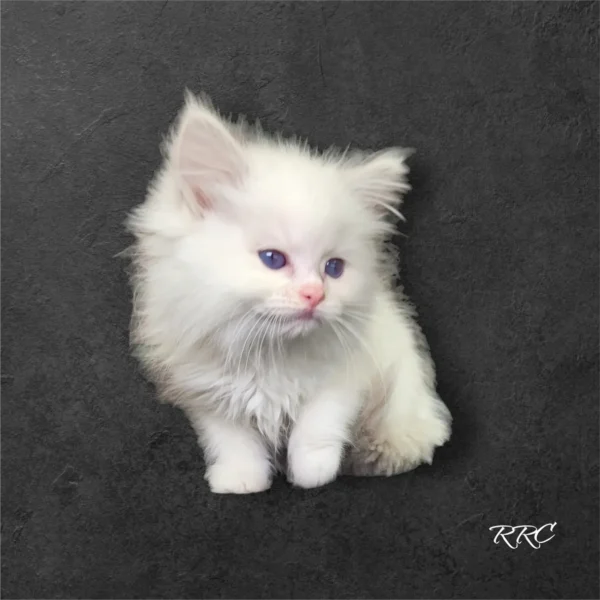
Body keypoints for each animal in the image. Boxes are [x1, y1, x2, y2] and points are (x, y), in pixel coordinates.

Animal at [126, 94, 450, 494]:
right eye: (273, 259)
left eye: (334, 268)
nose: (314, 295)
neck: (269, 356)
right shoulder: (205, 392)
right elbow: (233, 440)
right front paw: (240, 480)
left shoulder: (348, 372)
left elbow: (318, 426)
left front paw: (314, 473)